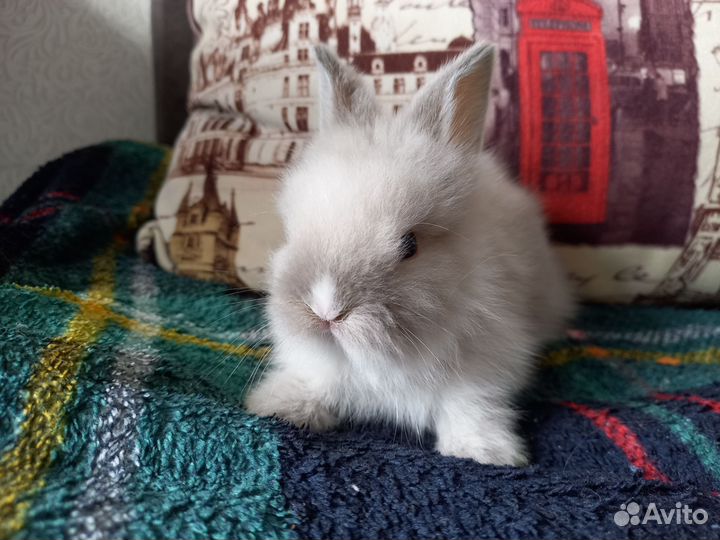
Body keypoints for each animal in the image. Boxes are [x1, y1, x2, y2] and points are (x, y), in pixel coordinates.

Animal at [244, 43, 574, 466]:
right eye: (294, 229)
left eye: (410, 245)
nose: (326, 309)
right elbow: (313, 382)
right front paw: (280, 406)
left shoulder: (487, 362)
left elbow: (471, 404)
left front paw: (484, 451)